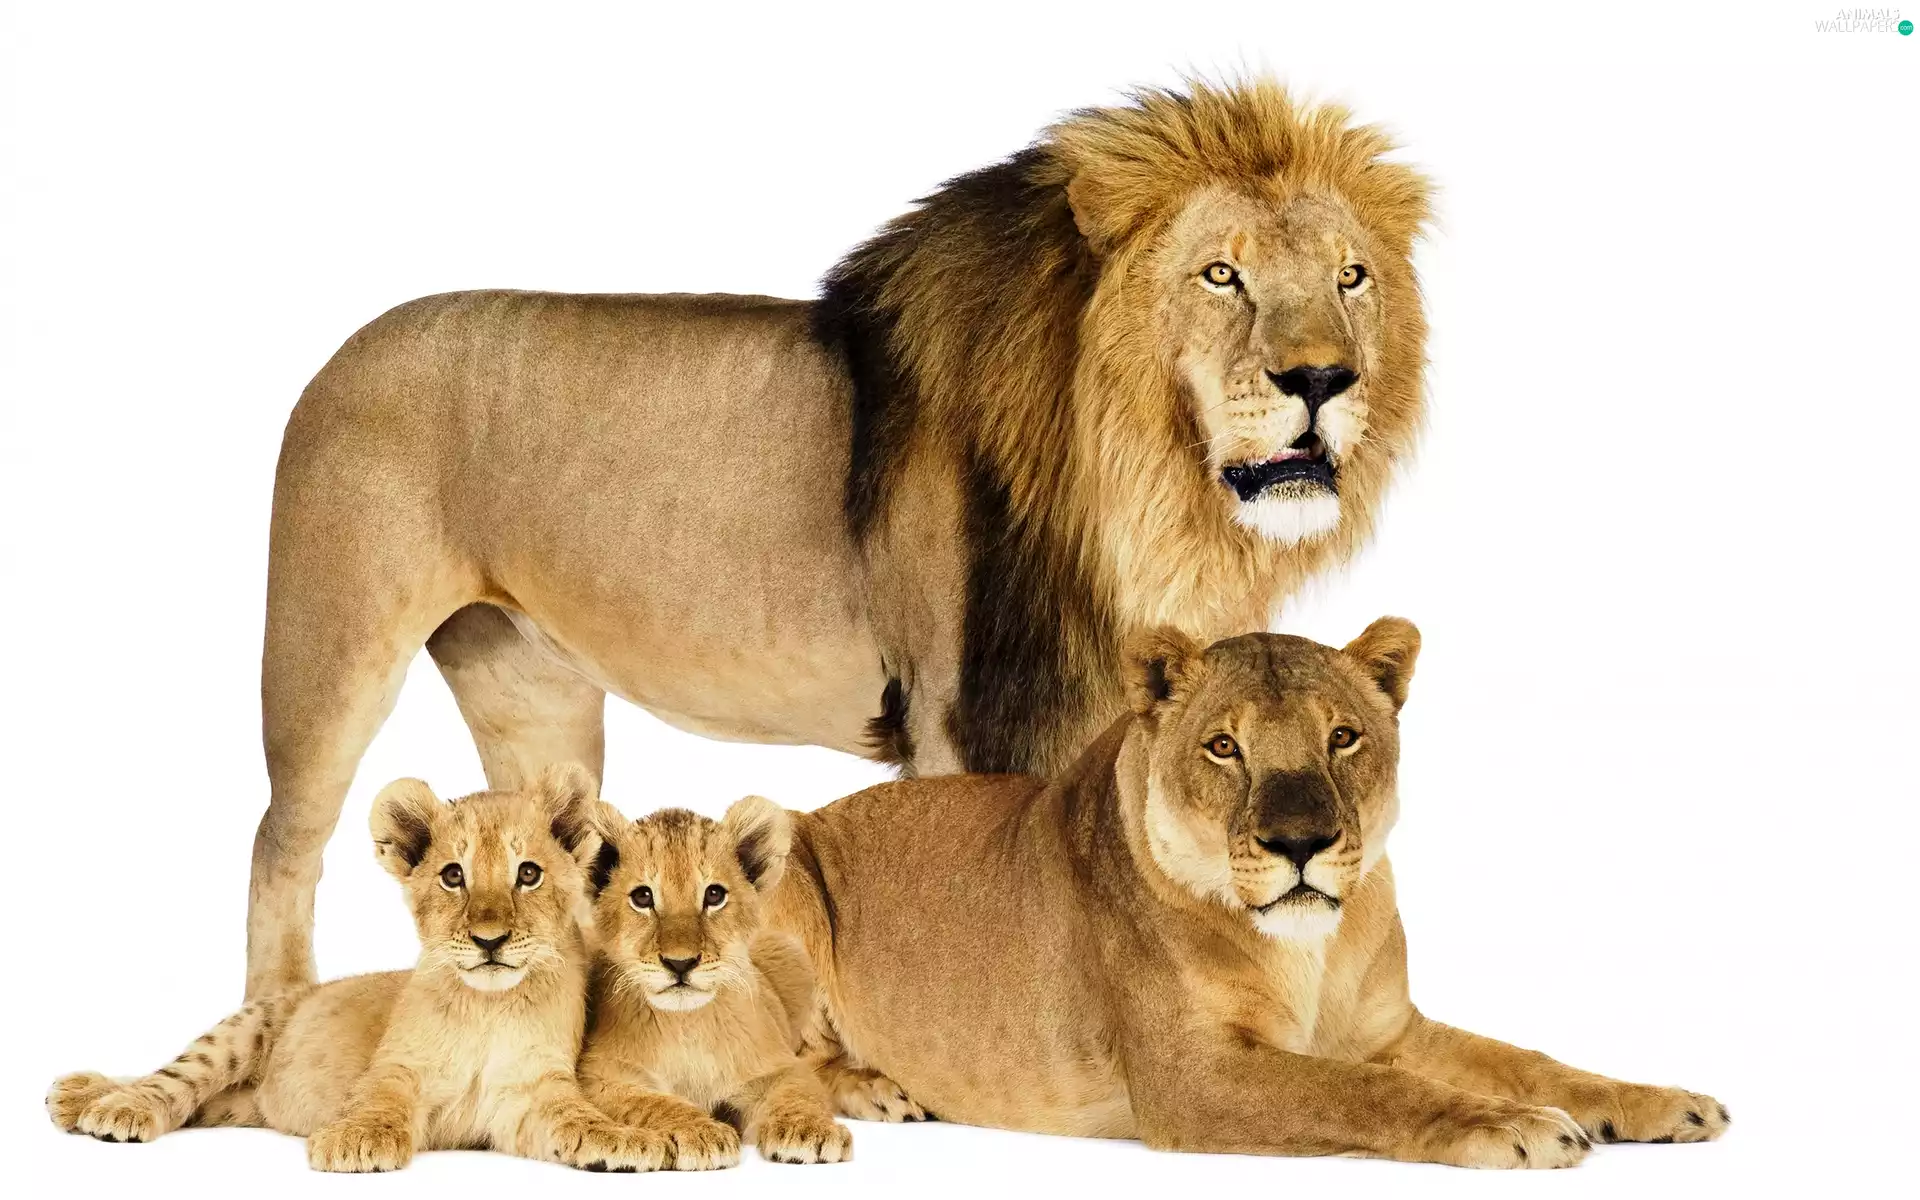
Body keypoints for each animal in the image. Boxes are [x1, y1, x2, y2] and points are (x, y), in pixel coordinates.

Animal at [49, 765, 673, 1174]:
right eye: (453, 876)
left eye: (528, 874)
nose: (489, 940)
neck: (486, 1005)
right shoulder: (396, 1066)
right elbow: (380, 1099)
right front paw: (356, 1140)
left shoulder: (530, 1092)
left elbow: (576, 1118)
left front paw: (624, 1140)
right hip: (241, 1031)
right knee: (173, 1077)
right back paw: (106, 1101)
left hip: (235, 1102)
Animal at [241, 78, 1434, 999]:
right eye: (1221, 274)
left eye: (1351, 277)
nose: (1324, 378)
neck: (1146, 488)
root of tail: (341, 349)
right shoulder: (960, 712)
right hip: (329, 655)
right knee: (279, 845)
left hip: (531, 691)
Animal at [576, 796, 854, 1165]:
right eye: (643, 897)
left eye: (714, 895)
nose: (680, 963)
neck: (689, 1023)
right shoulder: (599, 1075)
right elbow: (652, 1102)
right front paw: (702, 1132)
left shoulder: (782, 1066)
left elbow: (798, 1095)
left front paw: (810, 1130)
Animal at [766, 622, 1730, 1167]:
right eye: (1224, 747)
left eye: (1343, 737)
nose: (1299, 844)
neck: (1313, 948)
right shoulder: (1191, 1078)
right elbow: (1361, 1094)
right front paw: (1519, 1127)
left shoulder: (1391, 1031)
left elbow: (1530, 1058)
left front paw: (1657, 1103)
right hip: (782, 857)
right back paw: (879, 1090)